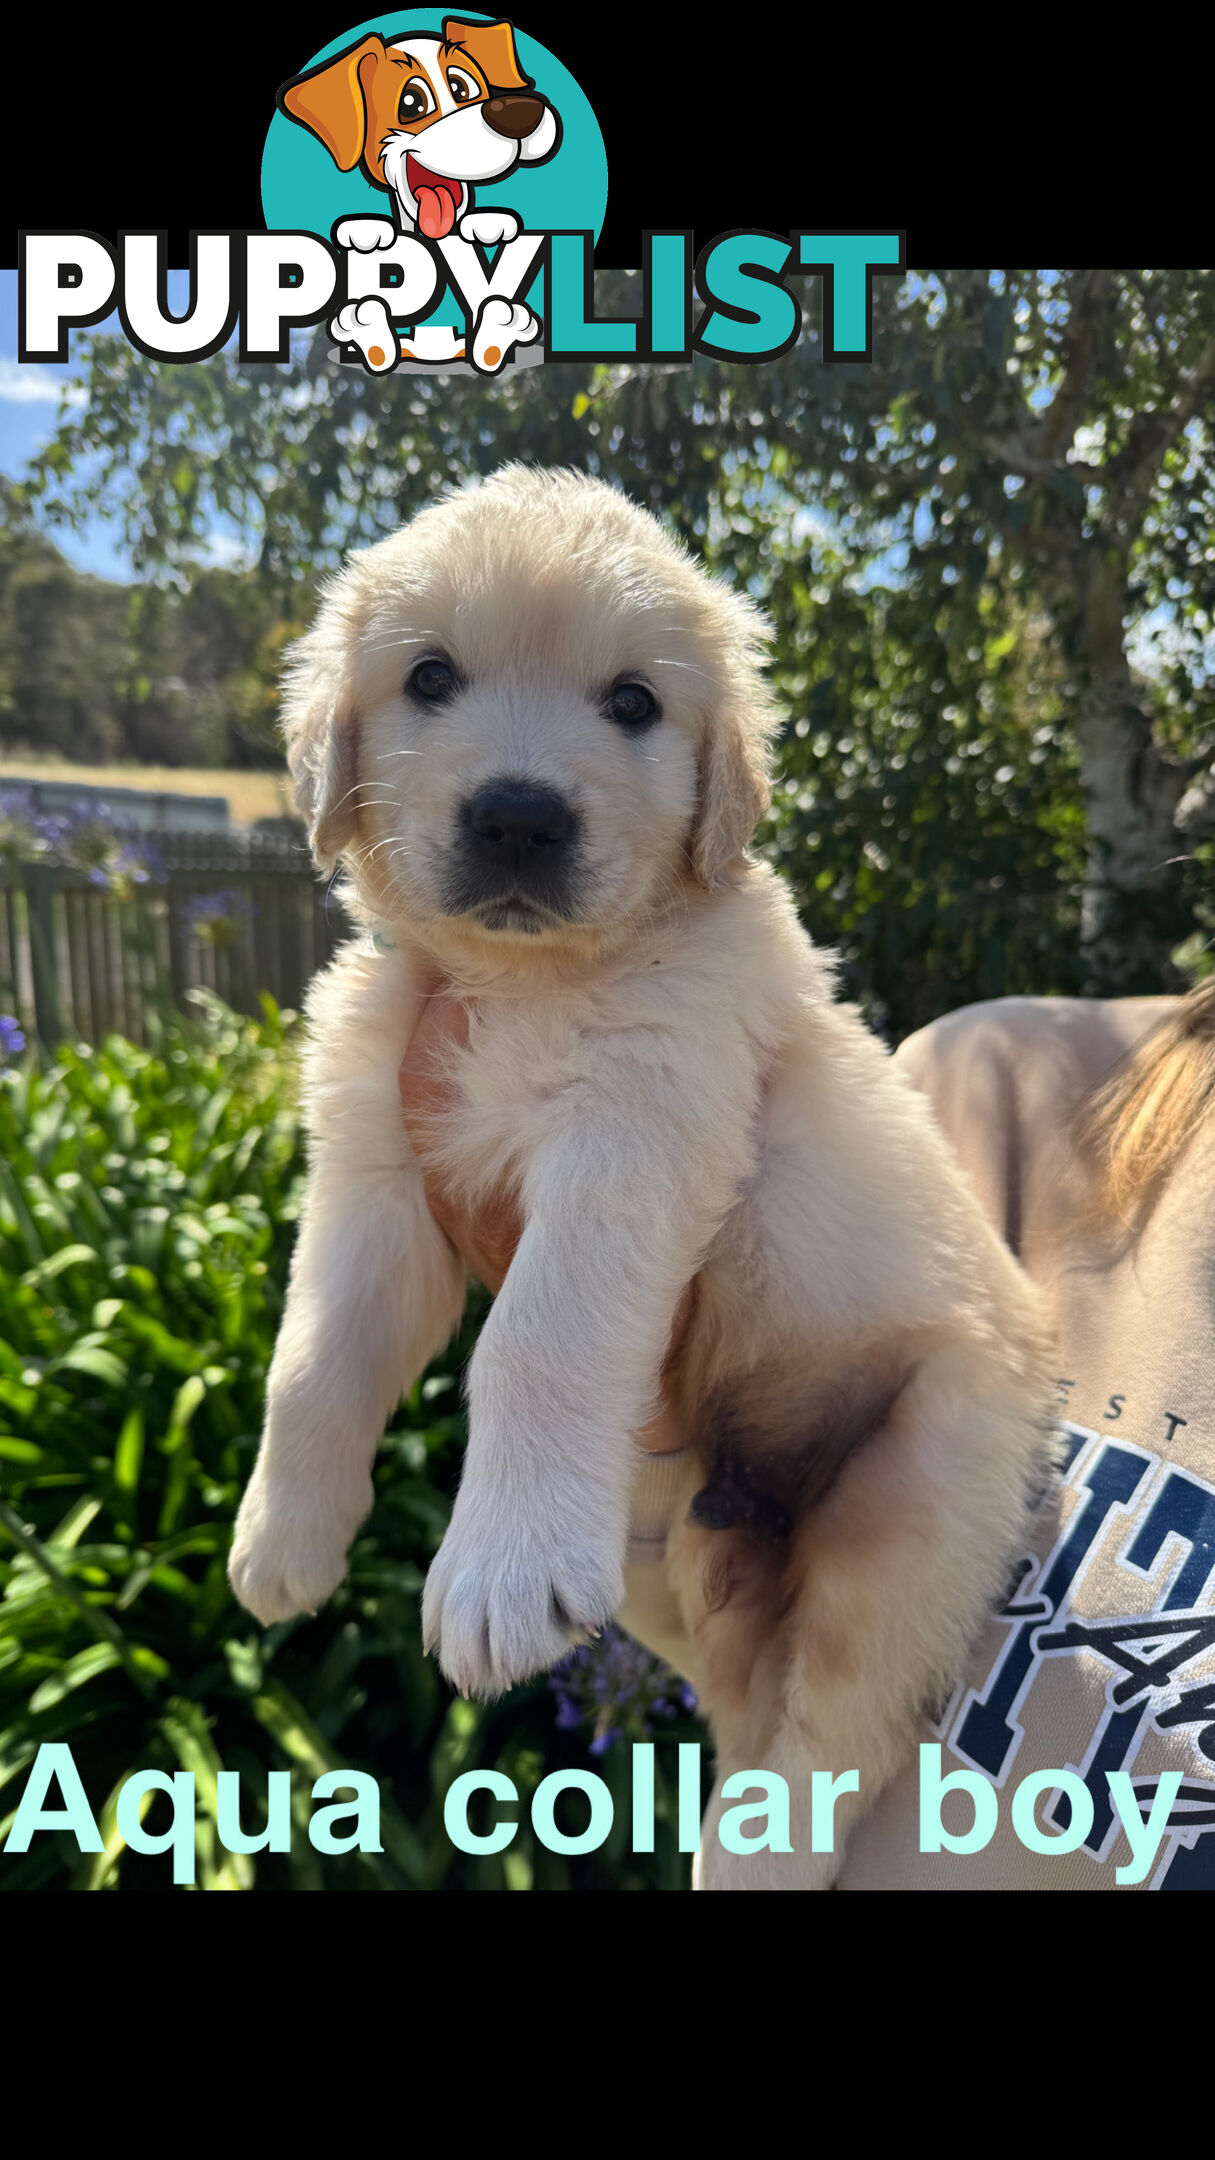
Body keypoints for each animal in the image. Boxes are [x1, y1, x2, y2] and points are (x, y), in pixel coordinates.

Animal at [229, 464, 1059, 1883]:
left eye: (632, 703)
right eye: (430, 677)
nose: (518, 816)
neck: (523, 980)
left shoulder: (634, 1133)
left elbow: (536, 1340)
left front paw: (499, 1570)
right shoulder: (376, 1173)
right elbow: (313, 1356)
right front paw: (282, 1537)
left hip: (921, 1495)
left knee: (836, 1722)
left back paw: (751, 1851)